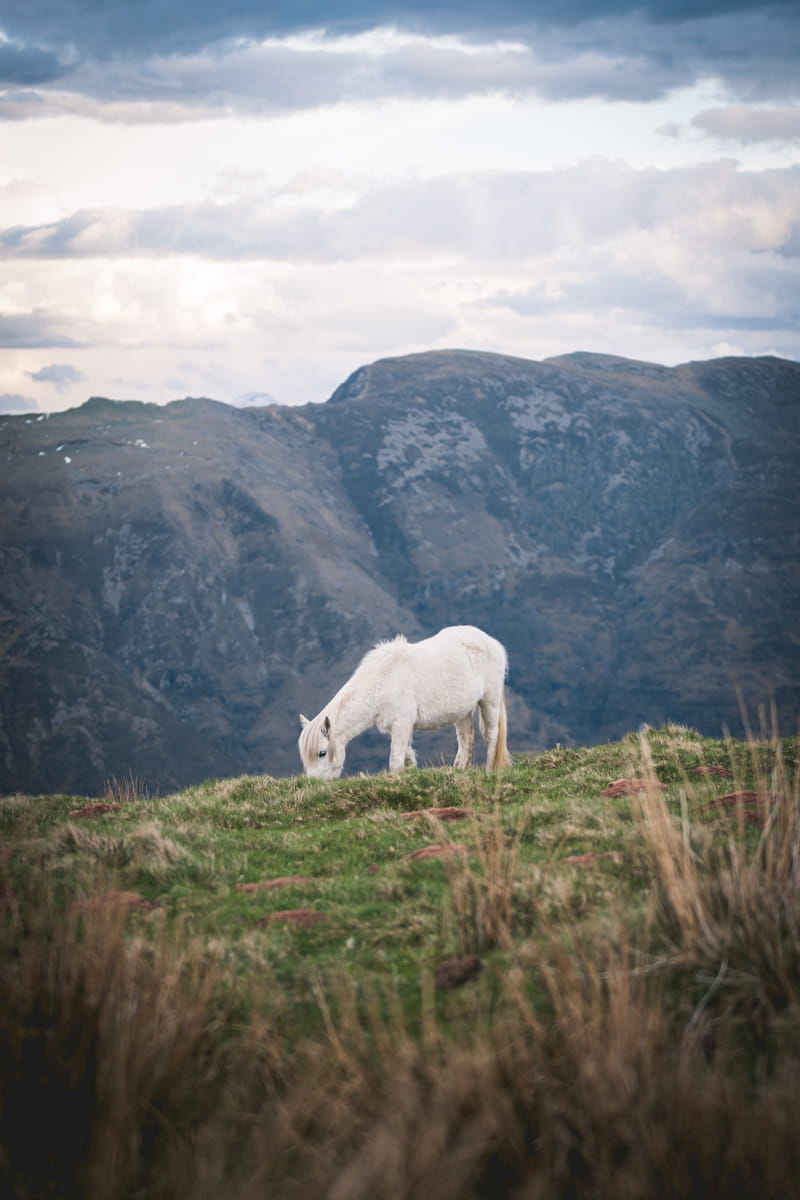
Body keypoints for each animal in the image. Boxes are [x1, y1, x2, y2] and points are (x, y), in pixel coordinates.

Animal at [297, 624, 510, 782]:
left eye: (322, 753)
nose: (313, 784)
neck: (382, 681)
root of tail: (492, 642)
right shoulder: (401, 728)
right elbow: (407, 759)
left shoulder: (401, 724)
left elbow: (395, 761)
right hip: (463, 711)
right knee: (466, 740)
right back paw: (458, 771)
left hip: (489, 699)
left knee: (491, 735)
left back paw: (489, 771)